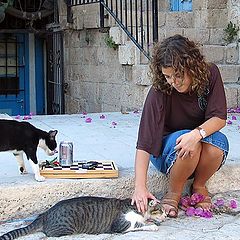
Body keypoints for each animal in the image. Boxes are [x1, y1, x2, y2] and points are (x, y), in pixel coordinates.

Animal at [0, 196, 167, 239]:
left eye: (165, 210)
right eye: (160, 210)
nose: (166, 215)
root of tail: (45, 214)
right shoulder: (121, 225)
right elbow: (139, 225)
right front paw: (152, 225)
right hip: (66, 229)